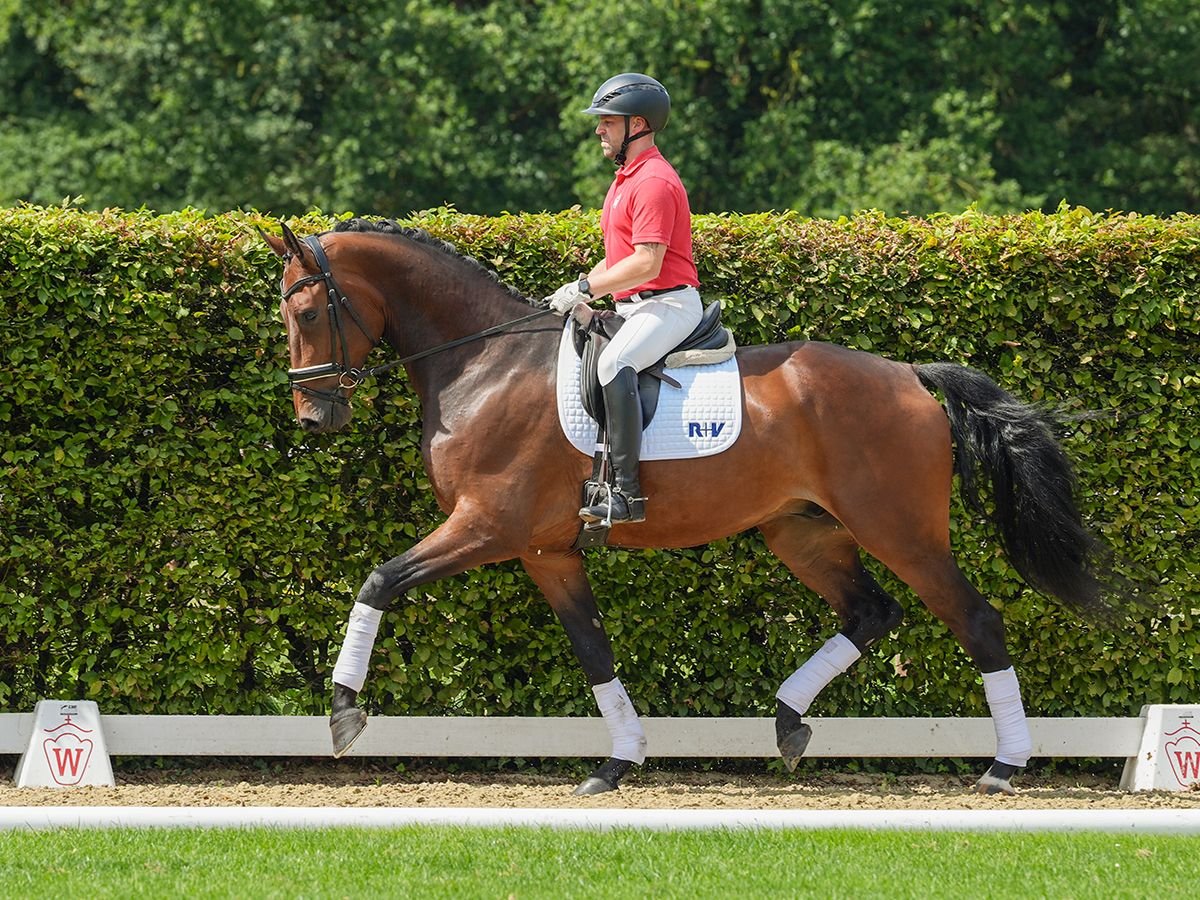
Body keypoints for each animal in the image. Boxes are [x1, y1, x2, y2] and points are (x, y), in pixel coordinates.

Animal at [260, 217, 1123, 796]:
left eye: (305, 313)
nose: (314, 419)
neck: (484, 360)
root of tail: (908, 375)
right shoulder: (547, 551)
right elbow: (594, 651)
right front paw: (618, 762)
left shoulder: (486, 525)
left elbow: (379, 580)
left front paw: (343, 711)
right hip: (801, 532)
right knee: (870, 612)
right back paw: (788, 721)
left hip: (899, 530)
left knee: (974, 618)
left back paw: (1004, 766)